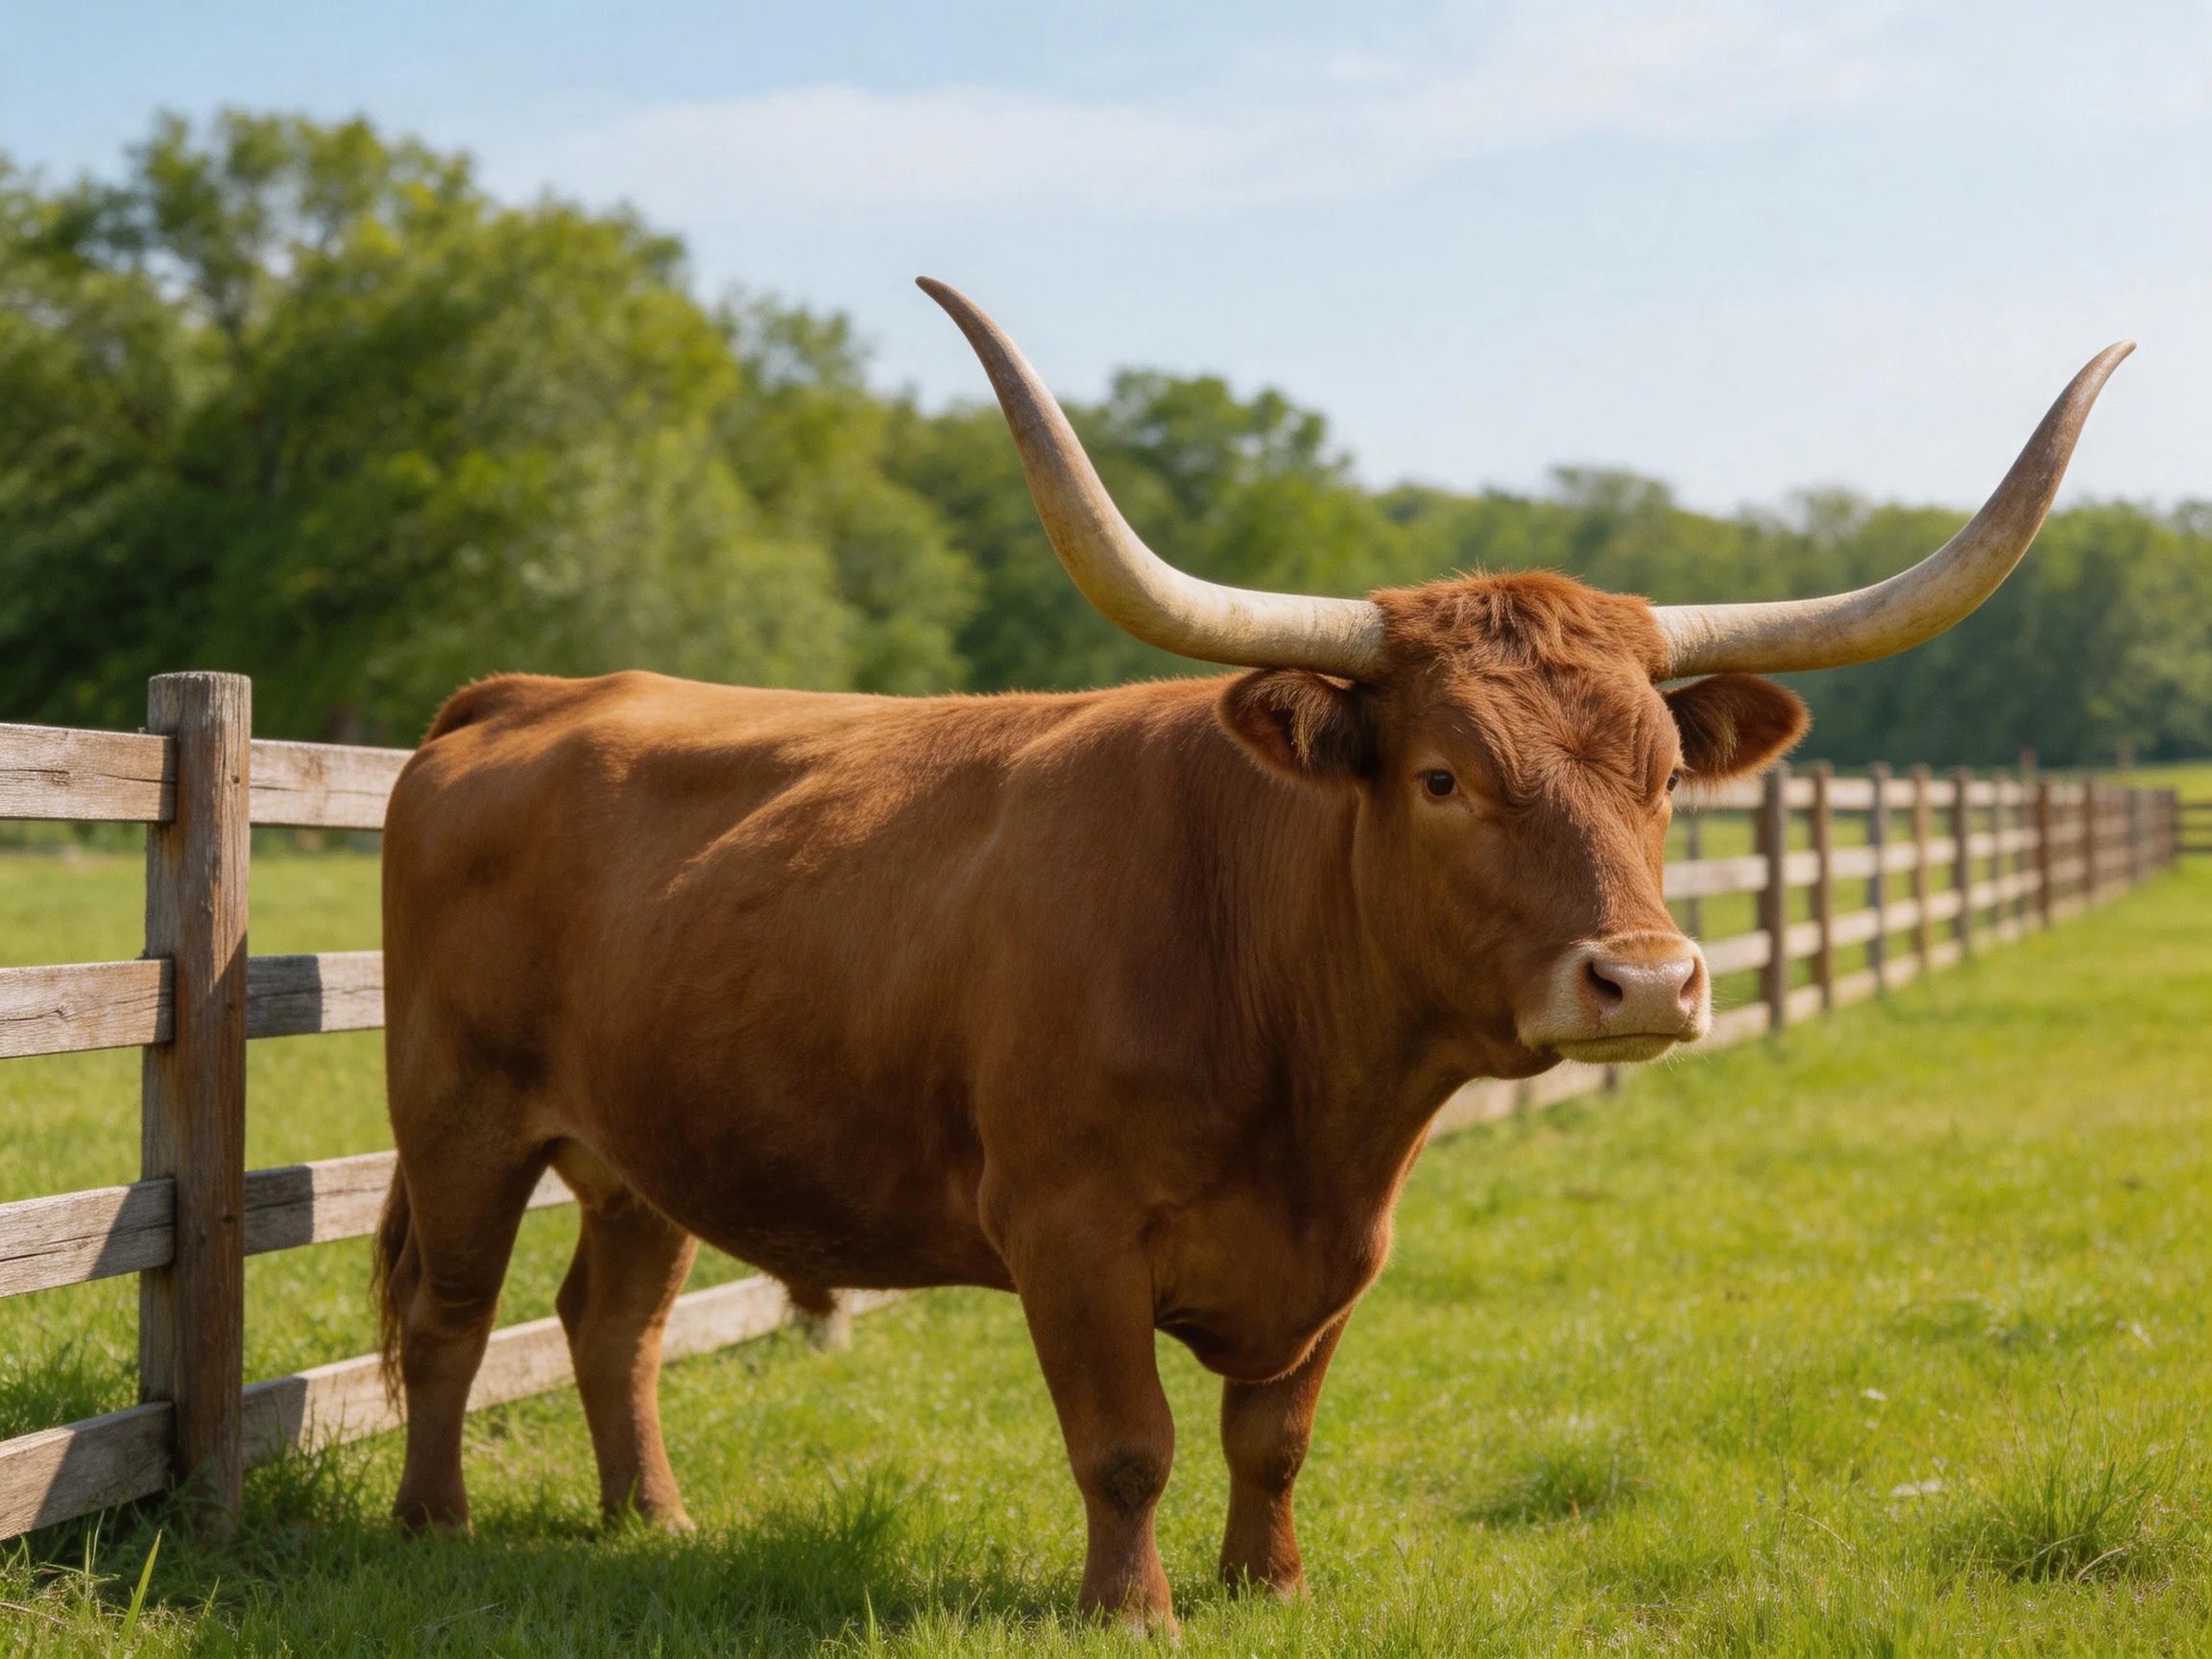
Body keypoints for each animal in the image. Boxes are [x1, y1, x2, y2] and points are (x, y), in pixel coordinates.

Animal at [373, 279, 2127, 1629]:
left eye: (1663, 774)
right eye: (1441, 776)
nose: (1643, 982)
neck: (1307, 1082)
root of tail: (529, 694)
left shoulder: (1348, 1241)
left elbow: (1269, 1433)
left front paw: (1267, 1584)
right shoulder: (1066, 1226)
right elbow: (1127, 1439)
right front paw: (1133, 1609)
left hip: (637, 1147)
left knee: (611, 1318)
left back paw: (652, 1519)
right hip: (456, 1110)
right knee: (454, 1318)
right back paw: (431, 1526)